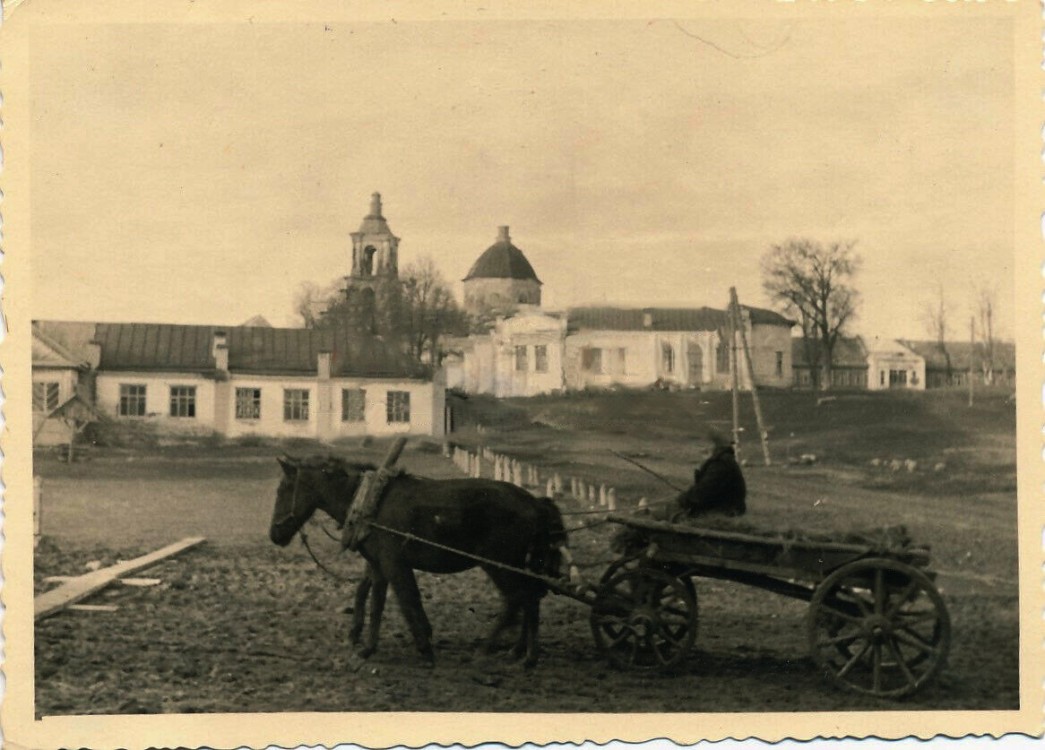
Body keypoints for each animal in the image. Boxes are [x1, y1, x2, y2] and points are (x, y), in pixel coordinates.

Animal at [267, 457, 564, 668]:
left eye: (282, 489)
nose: (274, 535)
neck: (371, 504)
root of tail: (535, 502)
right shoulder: (379, 566)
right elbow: (377, 604)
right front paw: (368, 648)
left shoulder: (394, 565)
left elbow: (408, 599)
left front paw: (424, 647)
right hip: (518, 564)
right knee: (530, 598)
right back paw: (525, 654)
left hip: (498, 564)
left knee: (516, 600)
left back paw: (488, 649)